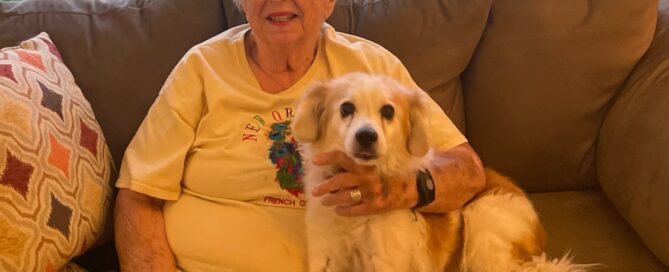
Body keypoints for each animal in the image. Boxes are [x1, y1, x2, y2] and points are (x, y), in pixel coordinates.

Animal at [290, 72, 592, 272]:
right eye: (346, 108)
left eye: (387, 111)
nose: (366, 136)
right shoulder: (325, 253)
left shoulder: (383, 261)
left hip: (482, 220)